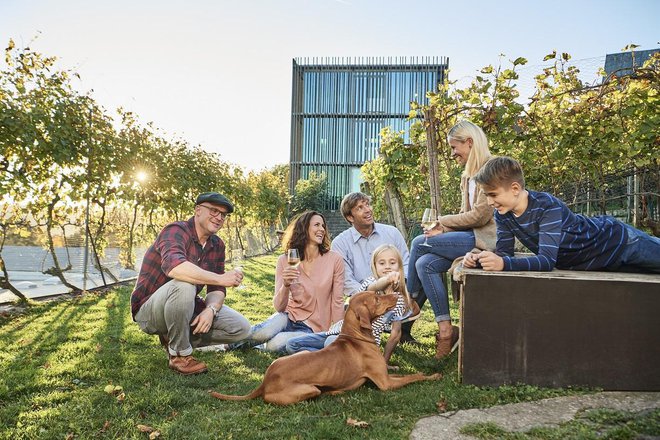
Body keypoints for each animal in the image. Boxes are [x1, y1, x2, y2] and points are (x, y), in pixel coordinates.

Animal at [209, 292, 440, 406]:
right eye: (376, 299)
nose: (397, 294)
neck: (356, 337)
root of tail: (265, 381)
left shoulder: (384, 375)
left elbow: (398, 370)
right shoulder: (385, 384)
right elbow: (413, 377)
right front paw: (432, 375)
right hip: (310, 389)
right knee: (317, 393)